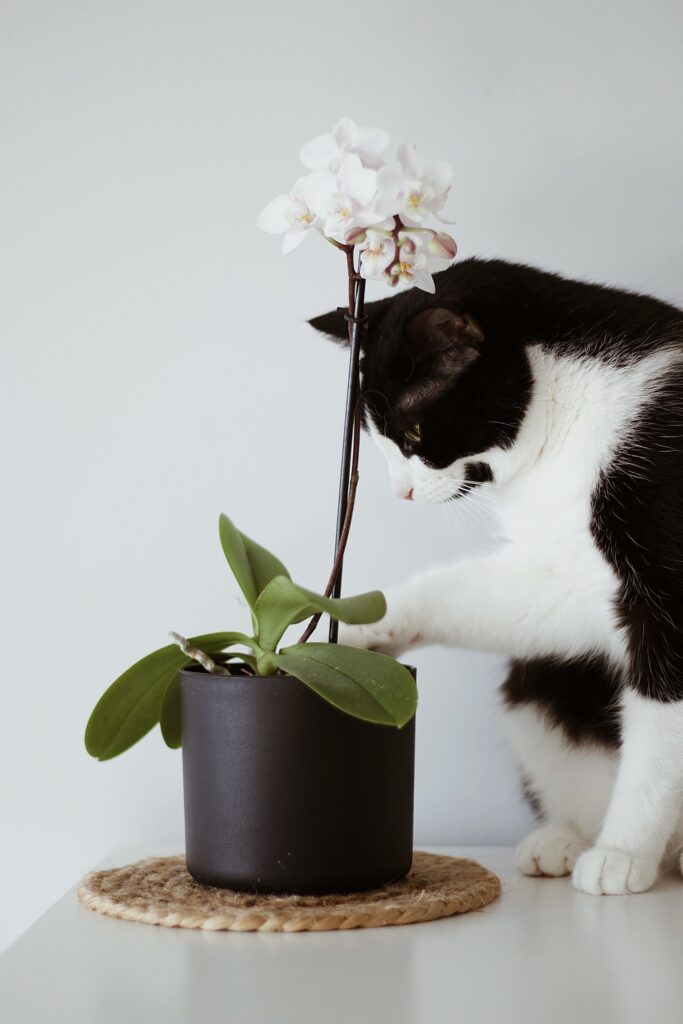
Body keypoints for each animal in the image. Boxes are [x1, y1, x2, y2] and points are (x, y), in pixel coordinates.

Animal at [313, 258, 683, 897]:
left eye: (413, 435)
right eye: (376, 441)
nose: (400, 492)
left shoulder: (669, 595)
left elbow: (660, 733)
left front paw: (623, 850)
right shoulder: (571, 579)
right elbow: (469, 594)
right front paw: (353, 630)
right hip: (535, 696)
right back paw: (565, 839)